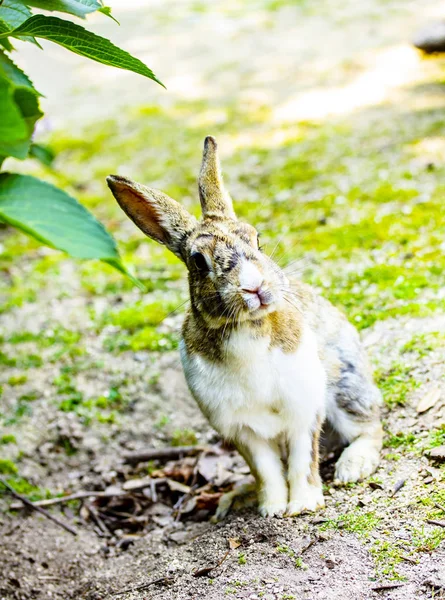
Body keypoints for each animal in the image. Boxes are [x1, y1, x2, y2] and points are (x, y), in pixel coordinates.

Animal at [106, 136, 382, 516]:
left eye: (256, 239)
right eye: (198, 260)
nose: (255, 286)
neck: (247, 328)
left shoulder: (303, 407)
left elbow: (302, 459)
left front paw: (303, 504)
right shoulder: (240, 429)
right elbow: (266, 470)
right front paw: (272, 507)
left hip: (345, 383)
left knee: (369, 427)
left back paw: (352, 467)